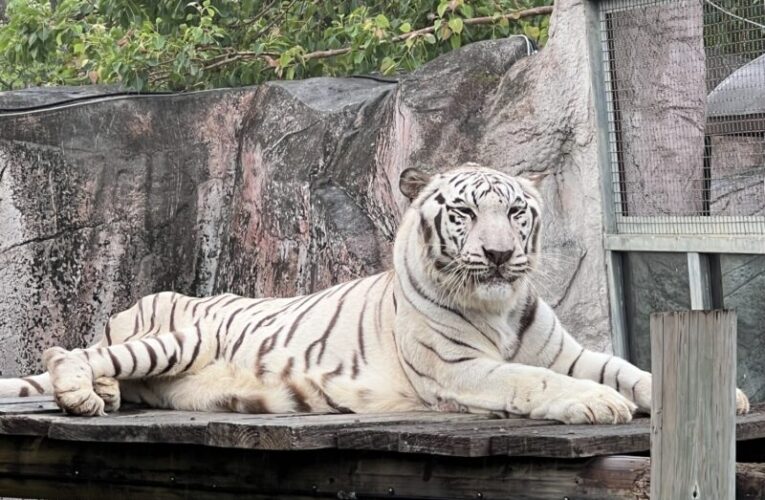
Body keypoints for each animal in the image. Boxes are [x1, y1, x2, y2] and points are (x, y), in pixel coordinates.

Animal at [0, 164, 752, 422]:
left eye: (514, 212)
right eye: (463, 213)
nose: (499, 255)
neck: (498, 306)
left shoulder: (564, 349)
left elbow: (626, 367)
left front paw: (730, 396)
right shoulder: (459, 369)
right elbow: (531, 381)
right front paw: (596, 405)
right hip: (175, 334)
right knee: (69, 354)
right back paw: (85, 393)